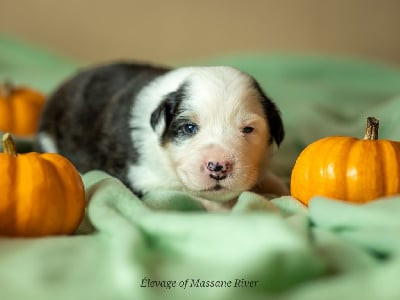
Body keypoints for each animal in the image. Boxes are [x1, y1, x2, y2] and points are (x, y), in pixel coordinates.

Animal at [34, 62, 290, 205]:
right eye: (189, 128)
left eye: (248, 129)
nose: (218, 166)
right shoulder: (143, 179)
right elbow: (195, 197)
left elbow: (273, 180)